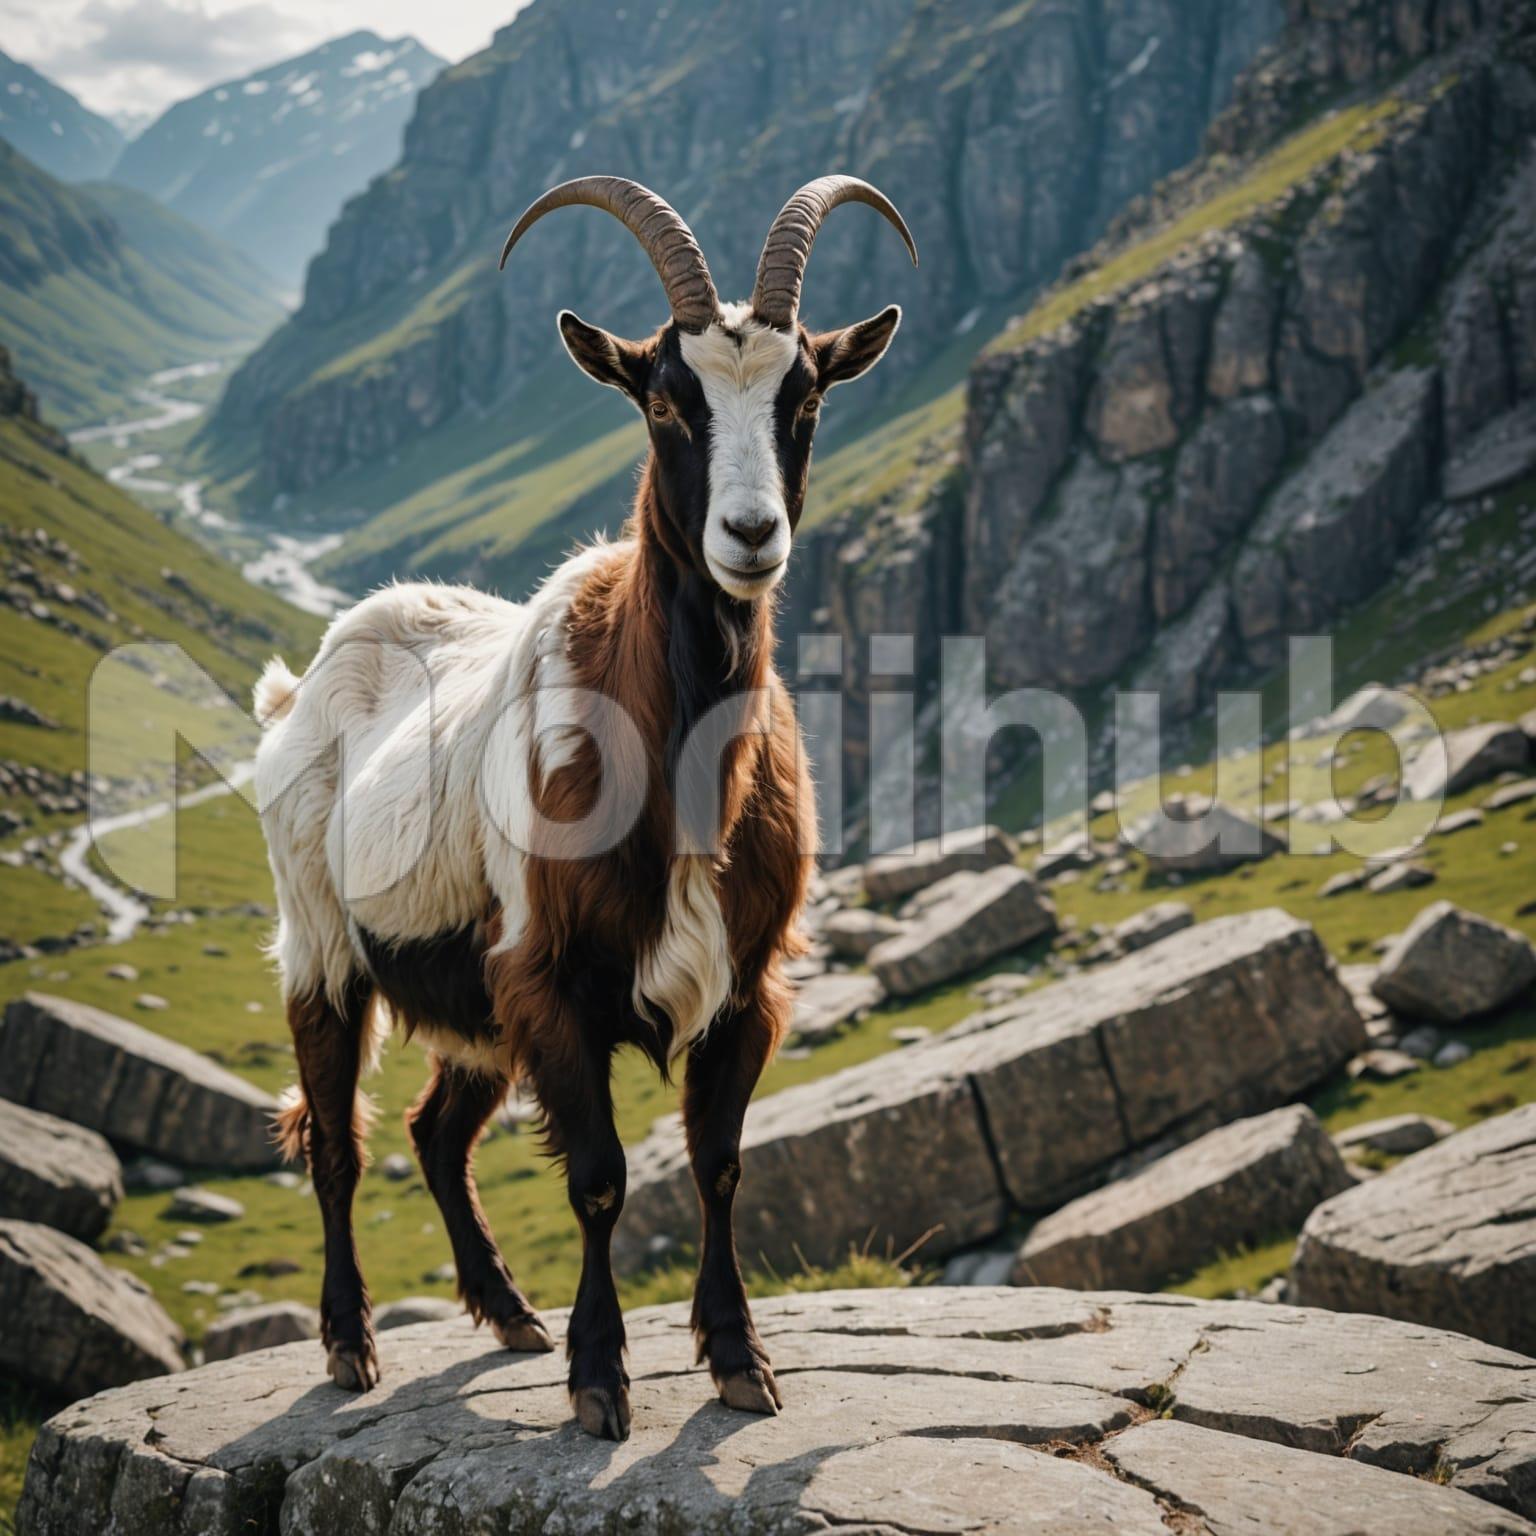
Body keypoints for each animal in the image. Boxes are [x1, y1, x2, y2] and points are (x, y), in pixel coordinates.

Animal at [253, 174, 916, 1440]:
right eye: (664, 401)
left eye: (806, 395)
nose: (750, 536)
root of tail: (304, 681)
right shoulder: (551, 980)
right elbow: (602, 1179)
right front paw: (601, 1378)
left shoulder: (744, 985)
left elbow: (717, 1165)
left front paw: (737, 1358)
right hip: (324, 943)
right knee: (338, 1142)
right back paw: (352, 1344)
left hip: (470, 994)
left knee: (434, 1132)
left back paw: (508, 1313)